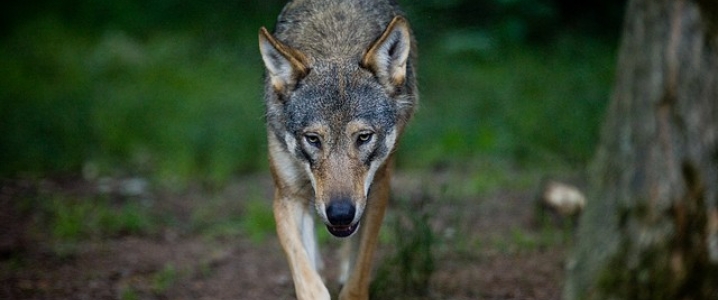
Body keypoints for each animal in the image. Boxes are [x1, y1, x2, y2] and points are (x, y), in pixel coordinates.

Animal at [258, 1, 420, 298]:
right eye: (313, 139)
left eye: (364, 137)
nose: (341, 214)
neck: (336, 47)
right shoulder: (287, 194)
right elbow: (305, 274)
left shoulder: (377, 191)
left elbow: (359, 272)